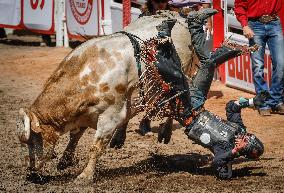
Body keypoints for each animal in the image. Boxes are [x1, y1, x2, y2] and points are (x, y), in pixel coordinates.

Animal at [17, 10, 200, 182]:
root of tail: (176, 15)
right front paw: (65, 160)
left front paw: (85, 175)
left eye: (33, 139)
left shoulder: (110, 117)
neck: (89, 75)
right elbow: (75, 136)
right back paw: (122, 135)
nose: (31, 172)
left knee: (174, 101)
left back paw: (165, 132)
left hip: (181, 76)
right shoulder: (84, 113)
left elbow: (96, 146)